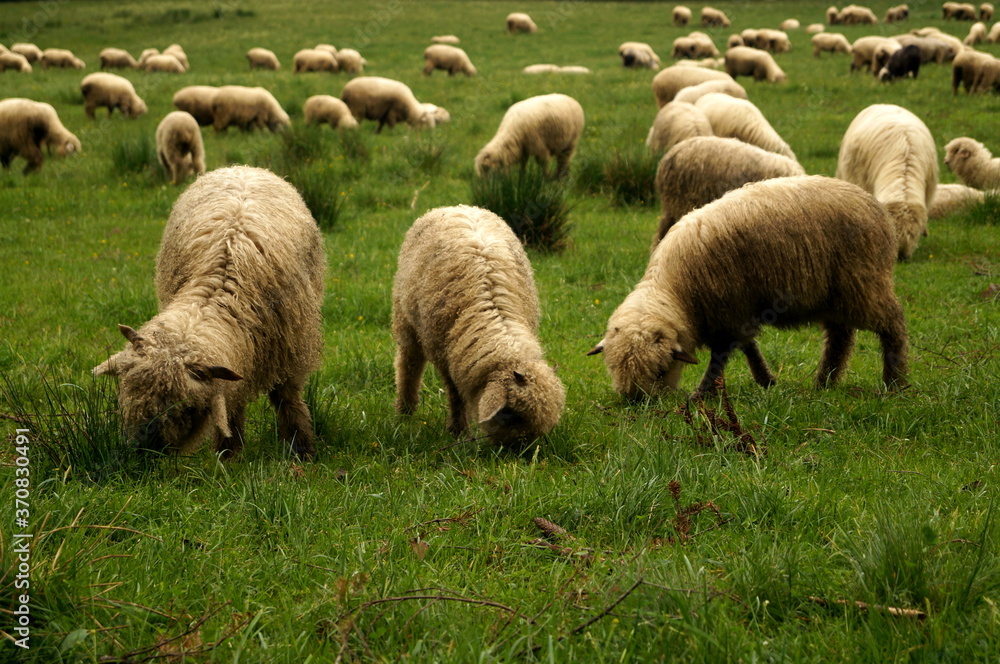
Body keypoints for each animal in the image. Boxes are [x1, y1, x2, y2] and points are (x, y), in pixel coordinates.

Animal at [93, 166, 326, 460]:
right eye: (127, 390)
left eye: (184, 406)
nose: (143, 450)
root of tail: (242, 168)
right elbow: (230, 405)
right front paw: (229, 455)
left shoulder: (289, 351)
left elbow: (288, 399)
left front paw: (301, 450)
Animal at [392, 205, 564, 446]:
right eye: (509, 415)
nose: (521, 453)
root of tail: (454, 207)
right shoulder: (445, 355)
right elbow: (455, 394)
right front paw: (458, 431)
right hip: (405, 317)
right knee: (409, 364)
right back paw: (405, 412)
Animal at [588, 175, 908, 400]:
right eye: (613, 369)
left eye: (659, 371)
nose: (637, 402)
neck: (677, 291)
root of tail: (873, 204)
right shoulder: (734, 311)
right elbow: (748, 345)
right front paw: (767, 380)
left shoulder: (727, 308)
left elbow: (720, 357)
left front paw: (701, 394)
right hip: (834, 294)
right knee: (840, 337)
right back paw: (824, 383)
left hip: (863, 282)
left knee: (892, 325)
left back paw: (895, 382)